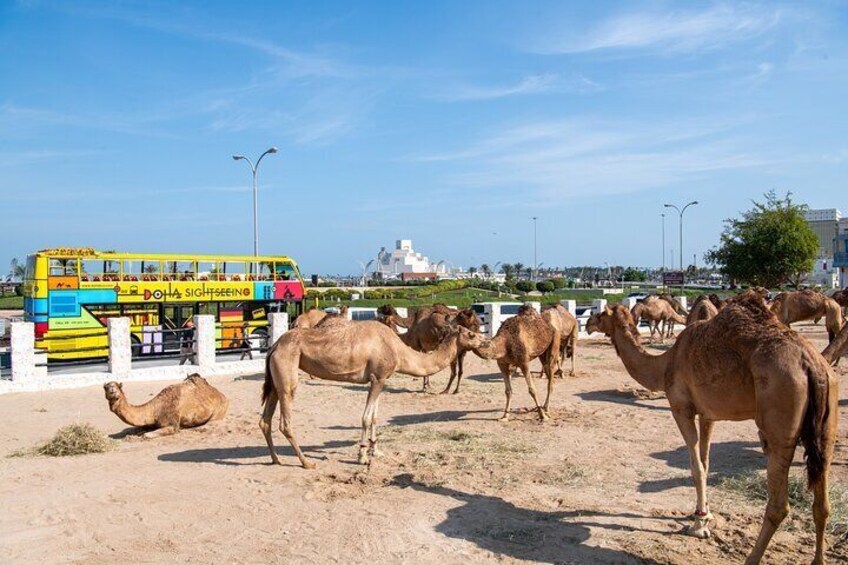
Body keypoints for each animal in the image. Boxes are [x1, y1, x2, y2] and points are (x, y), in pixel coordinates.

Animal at [258, 320, 490, 470]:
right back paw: (306, 462)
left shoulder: (380, 380)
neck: (399, 350)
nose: (486, 341)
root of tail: (274, 345)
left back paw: (276, 459)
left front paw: (375, 450)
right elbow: (366, 417)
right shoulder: (378, 377)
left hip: (276, 378)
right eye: (470, 334)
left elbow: (375, 417)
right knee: (285, 421)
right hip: (287, 371)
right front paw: (362, 456)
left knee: (265, 420)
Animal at [588, 296, 840, 564]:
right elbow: (706, 462)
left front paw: (699, 525)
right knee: (822, 503)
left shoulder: (682, 408)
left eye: (601, 313)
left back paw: (751, 558)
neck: (665, 363)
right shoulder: (708, 414)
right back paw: (818, 559)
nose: (589, 324)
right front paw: (703, 514)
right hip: (827, 425)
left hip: (779, 416)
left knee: (779, 504)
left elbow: (696, 466)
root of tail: (812, 365)